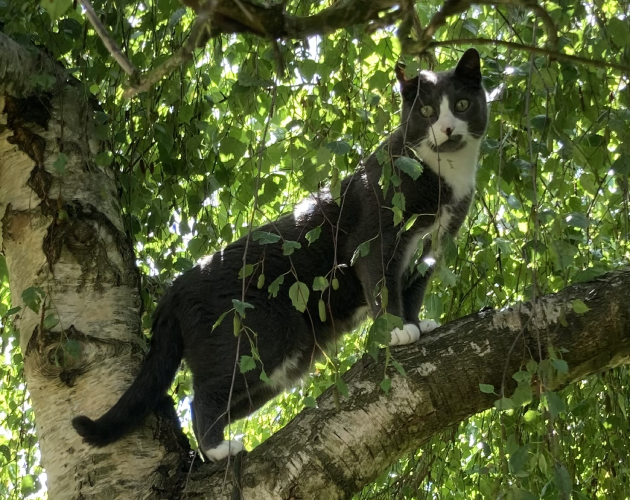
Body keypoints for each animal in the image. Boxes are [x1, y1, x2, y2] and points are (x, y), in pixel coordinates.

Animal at [72, 48, 488, 461]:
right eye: (428, 111)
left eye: (462, 105)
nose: (447, 128)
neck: (444, 177)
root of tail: (174, 291)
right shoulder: (374, 238)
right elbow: (383, 286)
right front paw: (397, 330)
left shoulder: (432, 249)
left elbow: (414, 289)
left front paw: (418, 323)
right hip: (265, 332)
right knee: (202, 396)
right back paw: (218, 449)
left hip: (282, 362)